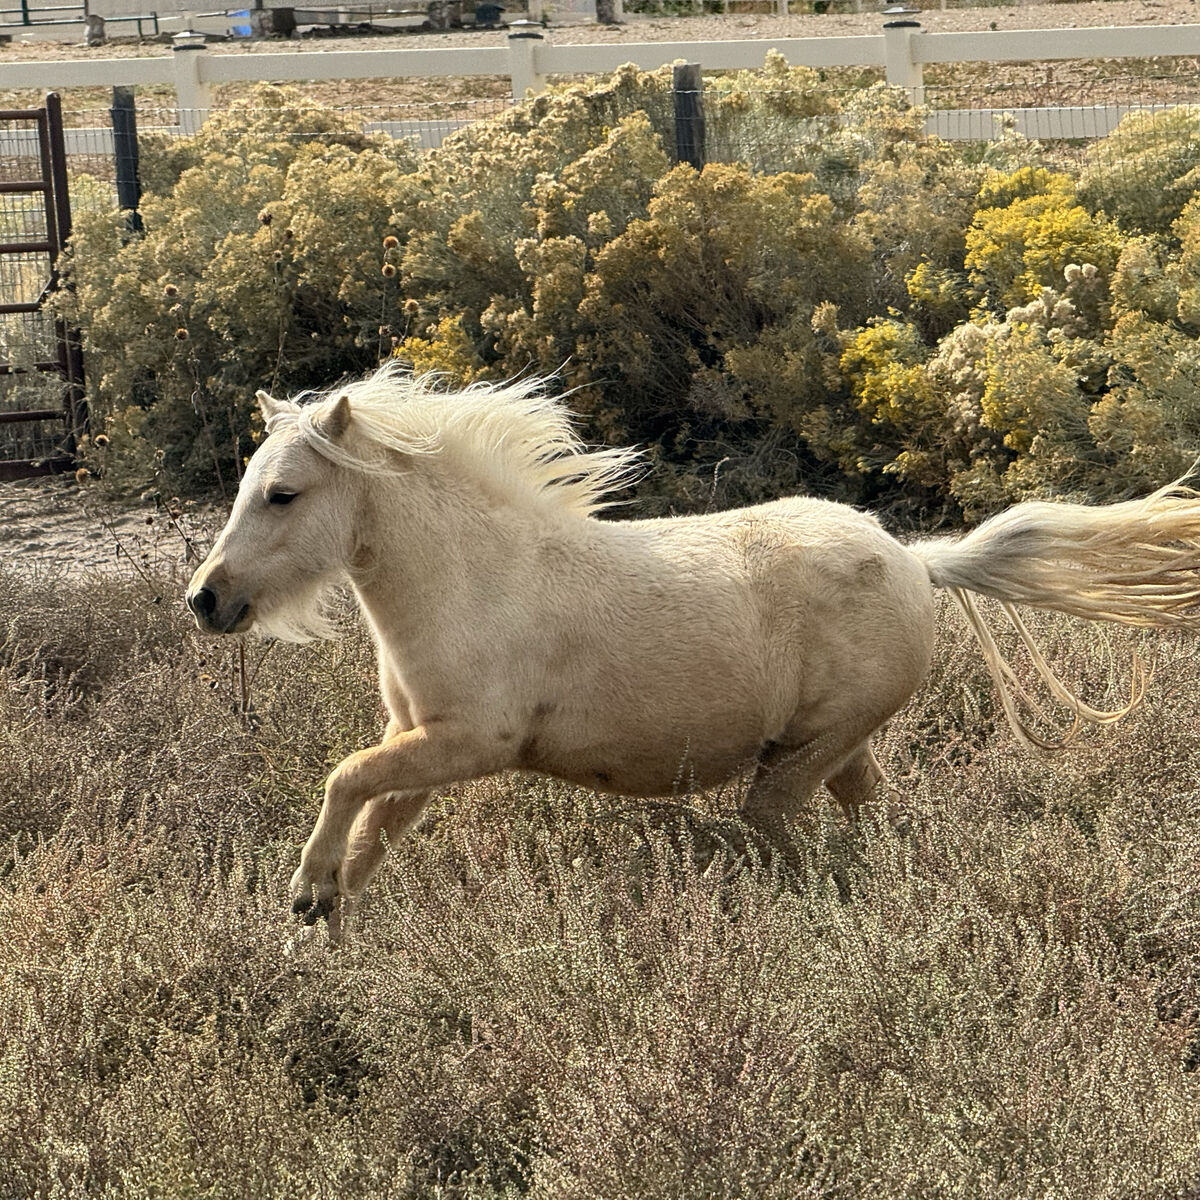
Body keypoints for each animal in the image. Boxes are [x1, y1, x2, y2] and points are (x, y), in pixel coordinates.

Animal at [186, 364, 1200, 941]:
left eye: (281, 494)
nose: (205, 600)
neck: (474, 577)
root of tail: (917, 557)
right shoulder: (425, 750)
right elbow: (368, 833)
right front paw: (322, 932)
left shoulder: (471, 743)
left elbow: (344, 777)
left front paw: (304, 894)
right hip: (839, 750)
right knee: (877, 824)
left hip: (799, 761)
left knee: (790, 836)